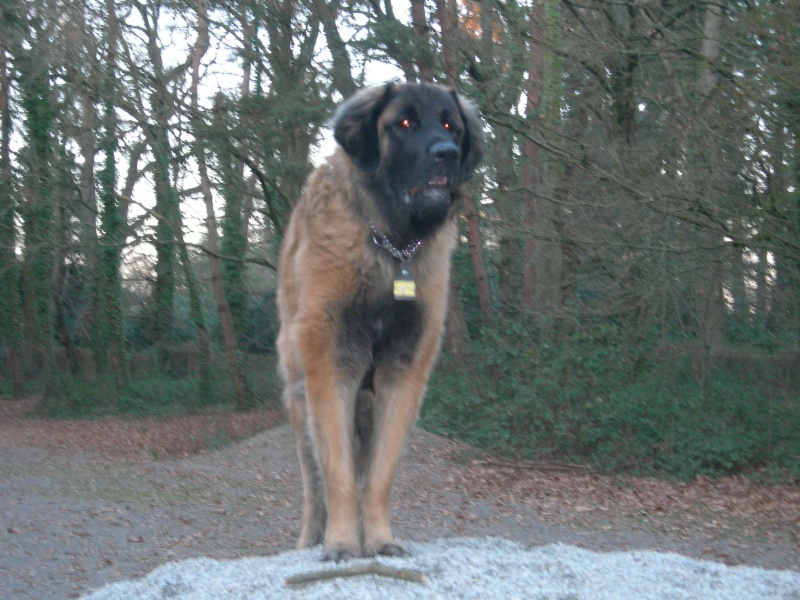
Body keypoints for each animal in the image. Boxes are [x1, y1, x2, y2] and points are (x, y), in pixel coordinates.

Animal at [278, 83, 484, 564]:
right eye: (404, 123)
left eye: (451, 125)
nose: (446, 154)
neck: (390, 245)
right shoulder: (331, 365)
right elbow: (335, 475)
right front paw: (340, 543)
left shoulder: (402, 373)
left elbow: (378, 477)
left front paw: (378, 539)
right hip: (299, 398)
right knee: (313, 487)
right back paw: (312, 538)